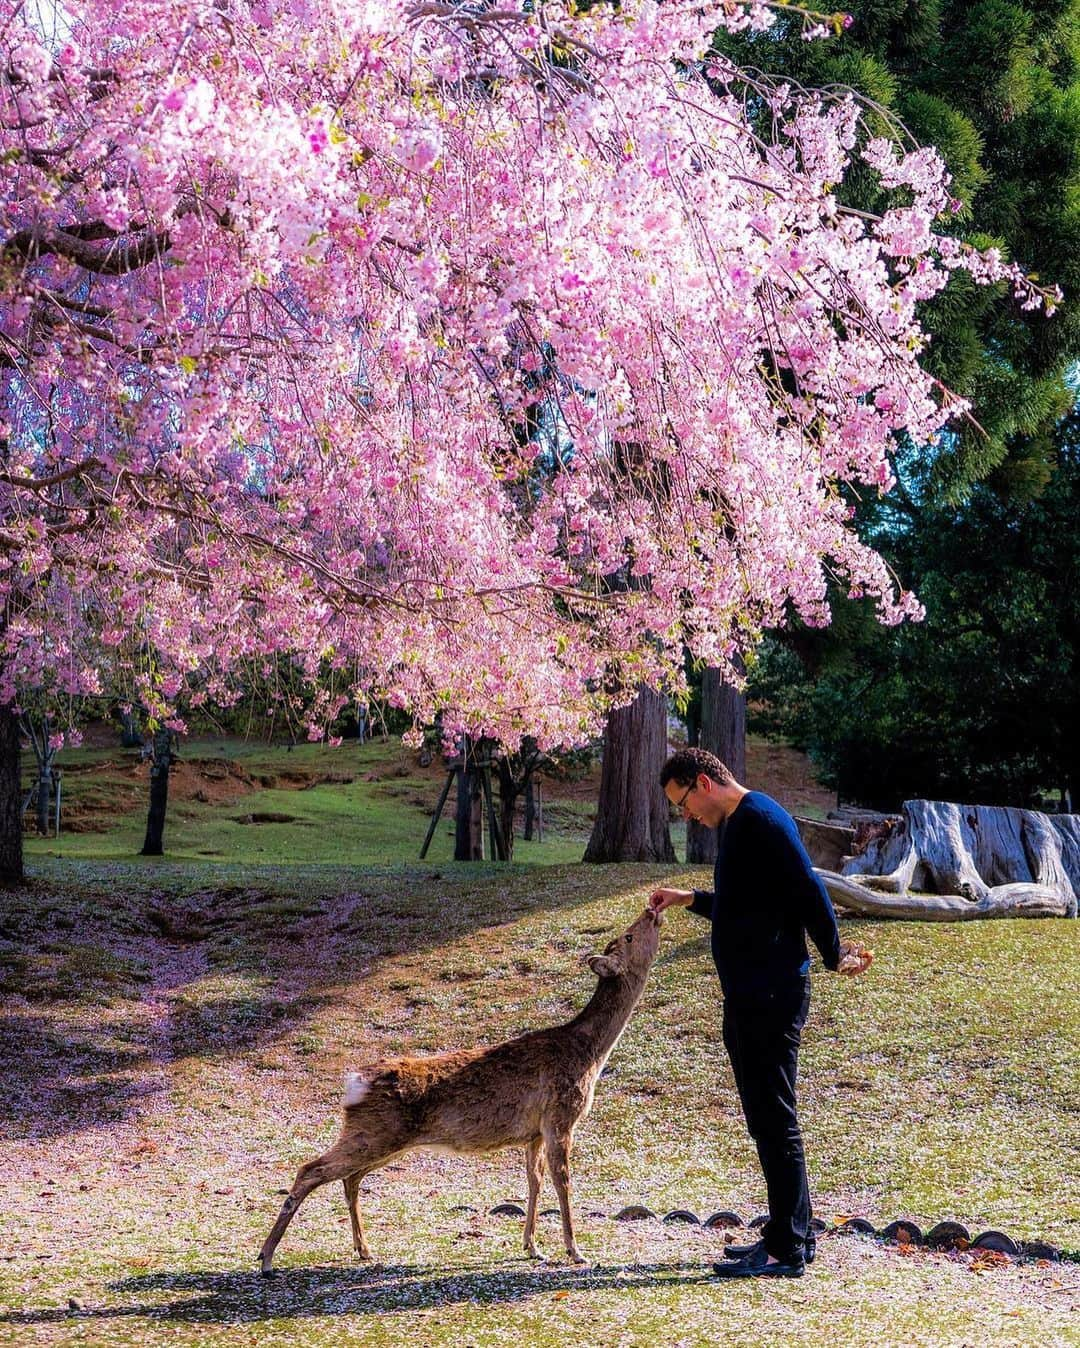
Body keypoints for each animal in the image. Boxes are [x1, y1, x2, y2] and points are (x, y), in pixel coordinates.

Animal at [258, 905, 666, 1272]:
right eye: (629, 936)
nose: (651, 911)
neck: (589, 1053)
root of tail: (354, 1083)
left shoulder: (533, 1132)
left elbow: (533, 1181)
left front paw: (532, 1246)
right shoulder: (560, 1116)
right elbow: (562, 1181)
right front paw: (575, 1251)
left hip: (381, 1138)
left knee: (349, 1177)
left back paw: (363, 1249)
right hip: (375, 1133)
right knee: (310, 1169)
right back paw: (266, 1258)